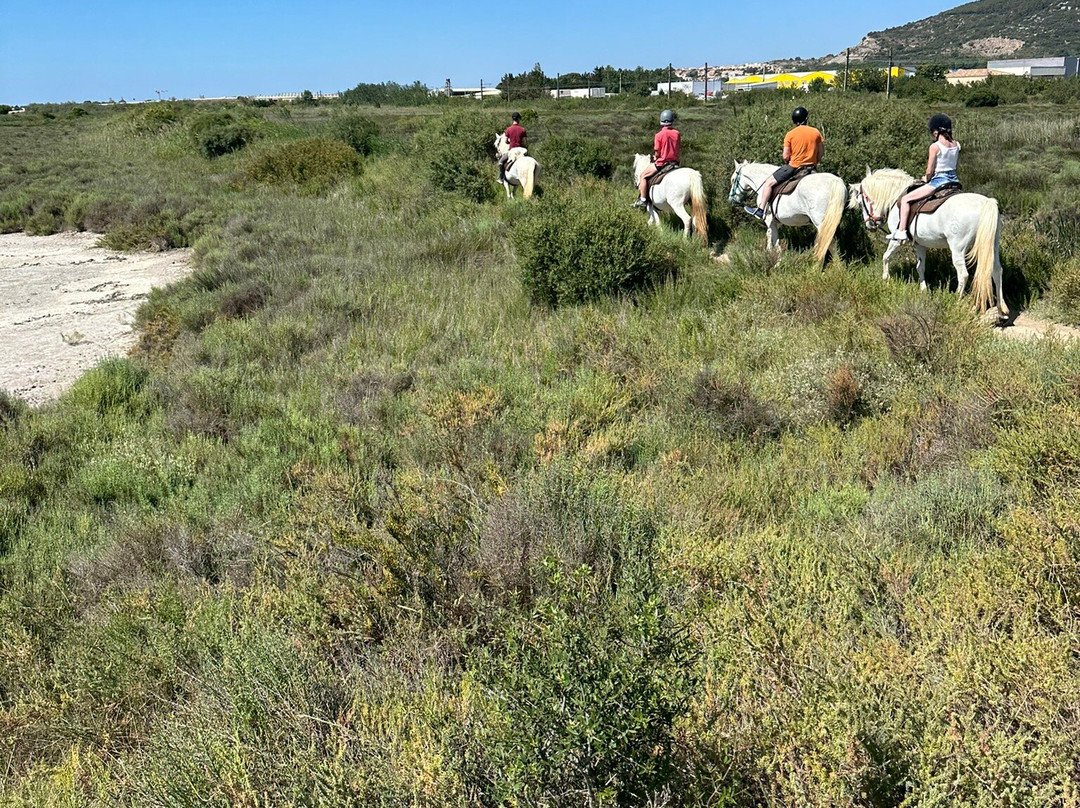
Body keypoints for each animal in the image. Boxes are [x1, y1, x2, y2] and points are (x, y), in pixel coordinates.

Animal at [849, 167, 1007, 316]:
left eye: (861, 202)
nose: (869, 225)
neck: (897, 197)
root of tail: (986, 202)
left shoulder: (897, 241)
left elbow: (885, 257)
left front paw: (885, 278)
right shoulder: (920, 244)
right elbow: (920, 267)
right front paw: (923, 289)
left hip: (958, 249)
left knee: (963, 274)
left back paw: (956, 301)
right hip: (992, 246)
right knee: (997, 271)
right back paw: (1001, 308)